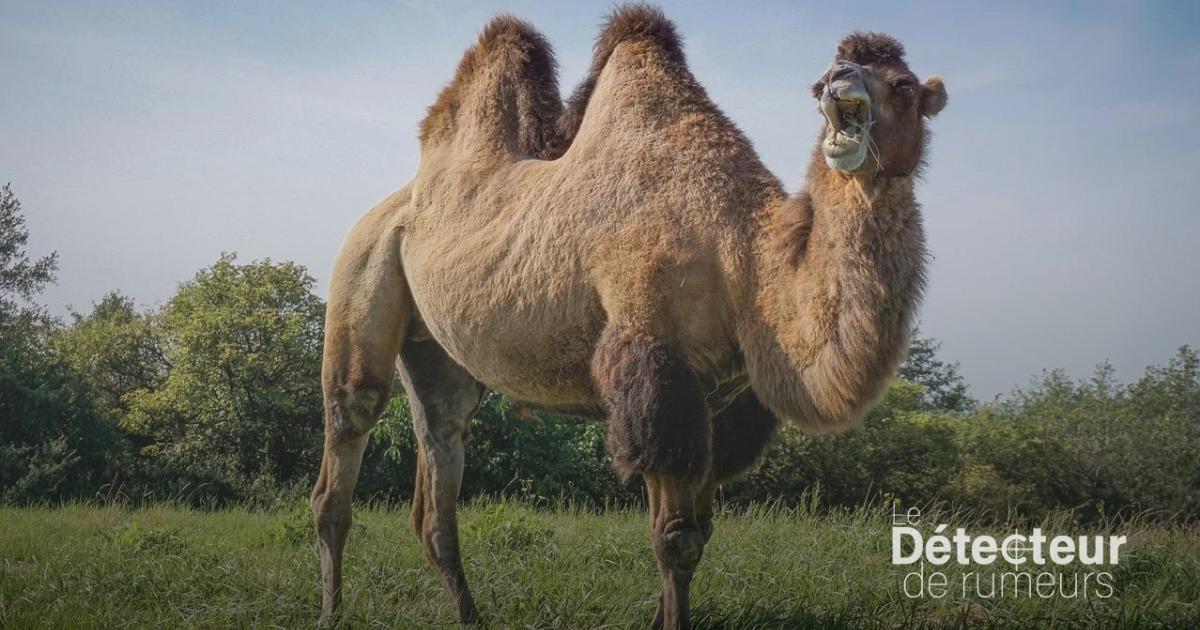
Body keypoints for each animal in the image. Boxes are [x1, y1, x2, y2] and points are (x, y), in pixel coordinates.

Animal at [310, 5, 947, 628]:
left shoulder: (720, 400)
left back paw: (468, 614)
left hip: (437, 351)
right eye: (821, 83)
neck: (744, 255)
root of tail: (392, 205)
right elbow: (676, 540)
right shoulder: (655, 364)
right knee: (347, 436)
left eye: (903, 85)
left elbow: (697, 532)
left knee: (440, 451)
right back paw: (332, 610)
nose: (839, 78)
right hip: (363, 268)